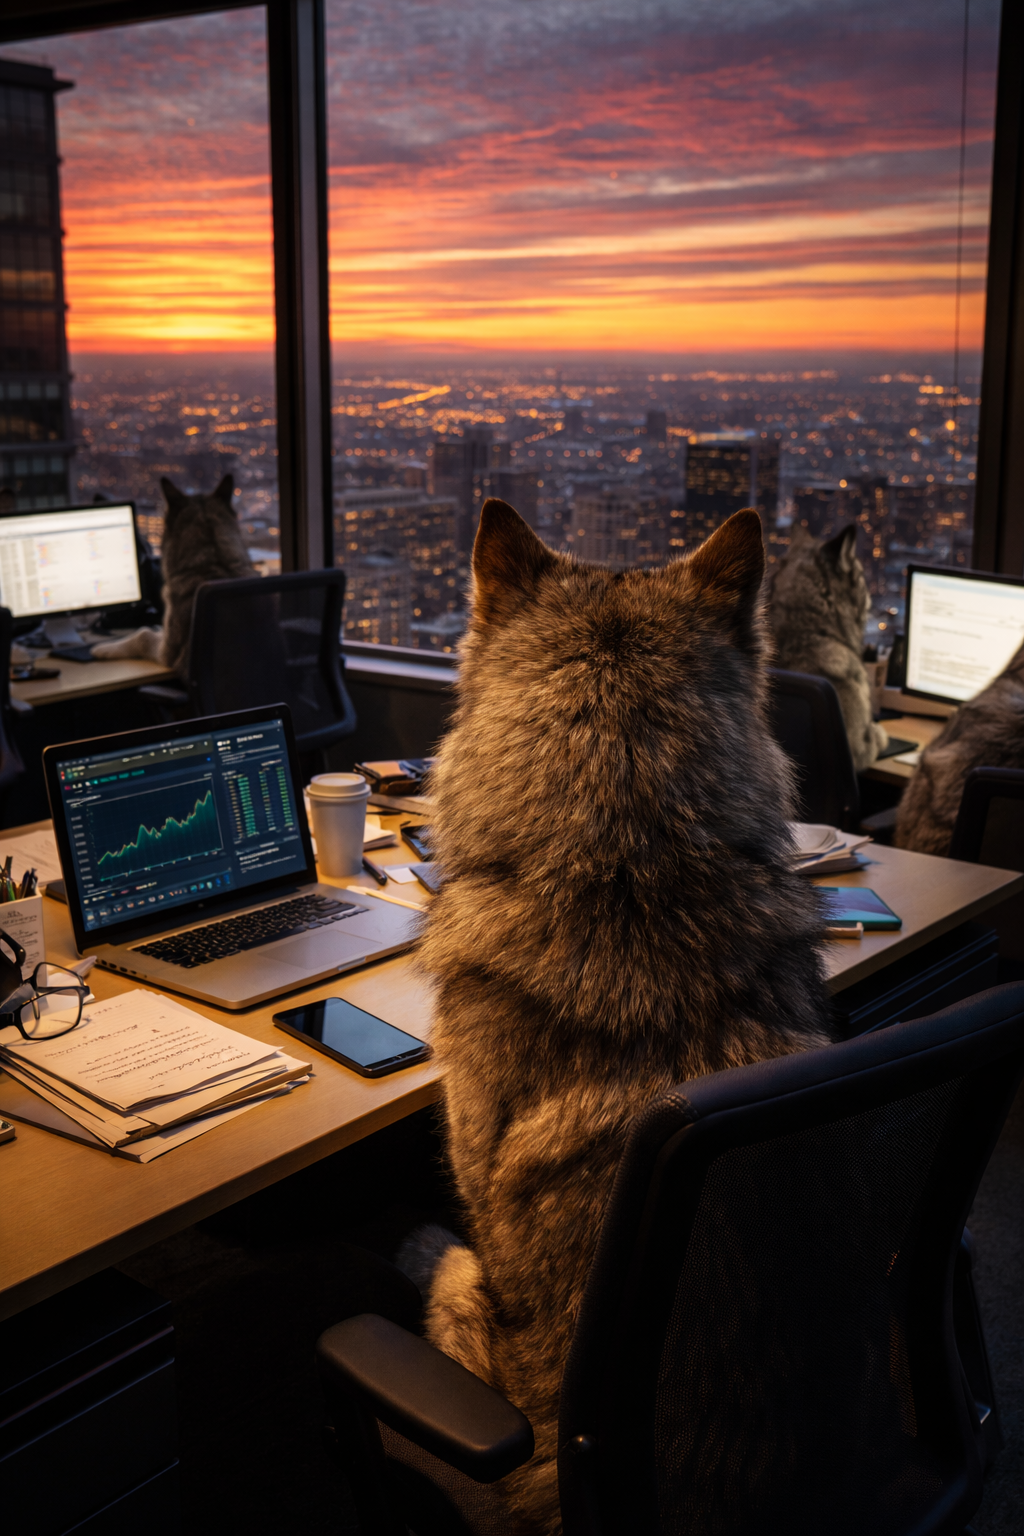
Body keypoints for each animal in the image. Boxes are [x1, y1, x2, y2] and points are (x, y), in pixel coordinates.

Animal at [769, 523, 888, 771]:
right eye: (861, 577)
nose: (871, 598)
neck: (804, 629)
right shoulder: (857, 751)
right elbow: (876, 736)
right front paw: (879, 731)